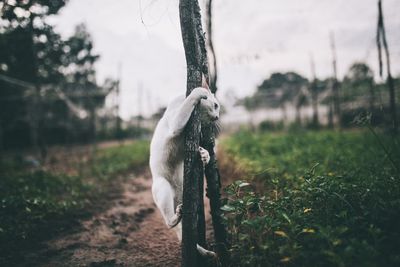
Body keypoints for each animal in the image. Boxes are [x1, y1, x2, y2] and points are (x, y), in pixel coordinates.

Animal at [149, 86, 220, 258]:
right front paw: (198, 92)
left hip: (192, 197)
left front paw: (205, 155)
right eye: (215, 106)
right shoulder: (176, 122)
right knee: (169, 222)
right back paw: (175, 217)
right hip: (162, 187)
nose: (217, 117)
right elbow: (189, 102)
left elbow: (204, 152)